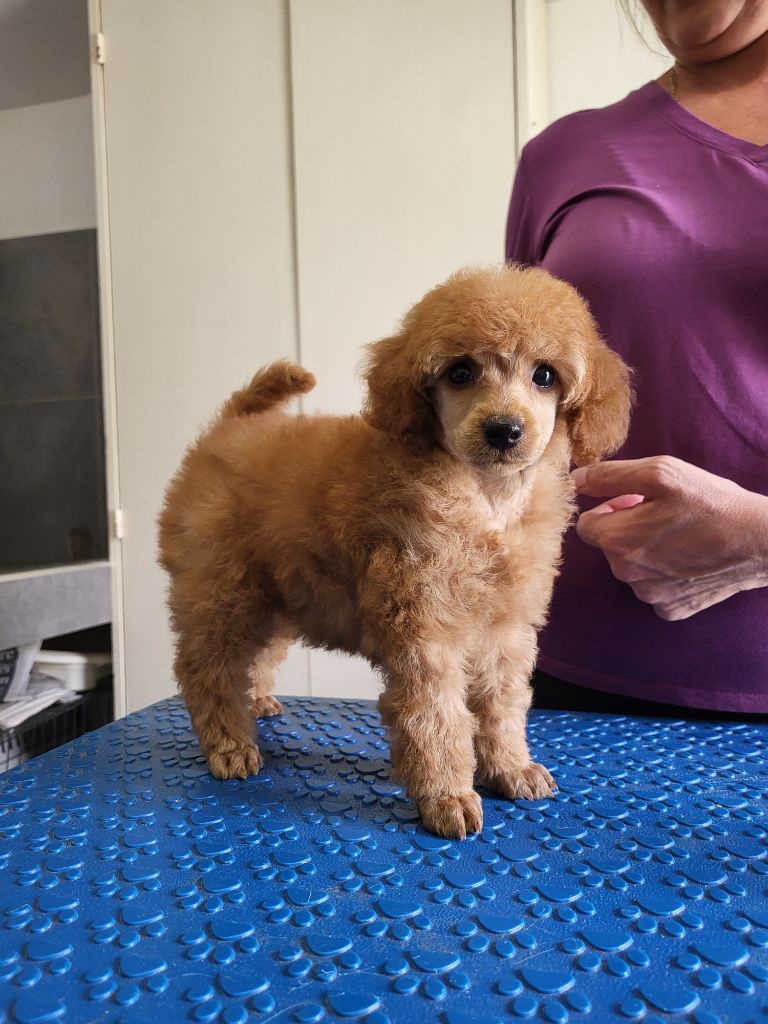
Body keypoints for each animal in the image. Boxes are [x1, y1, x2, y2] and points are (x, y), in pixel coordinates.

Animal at [158, 264, 631, 838]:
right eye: (460, 372)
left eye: (544, 376)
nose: (504, 430)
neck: (487, 499)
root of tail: (229, 427)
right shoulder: (425, 630)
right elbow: (438, 717)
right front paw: (448, 796)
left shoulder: (505, 631)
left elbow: (503, 706)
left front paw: (511, 767)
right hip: (223, 585)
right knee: (208, 666)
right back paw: (229, 743)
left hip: (278, 590)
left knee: (258, 652)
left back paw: (260, 700)